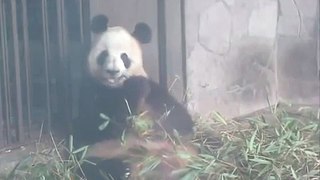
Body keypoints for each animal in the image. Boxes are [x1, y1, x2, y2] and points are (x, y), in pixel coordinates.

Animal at [74, 14, 195, 180]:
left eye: (124, 57)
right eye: (104, 54)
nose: (113, 71)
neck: (116, 88)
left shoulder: (155, 93)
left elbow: (179, 120)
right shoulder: (91, 89)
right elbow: (94, 127)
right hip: (104, 153)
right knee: (96, 167)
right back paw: (123, 170)